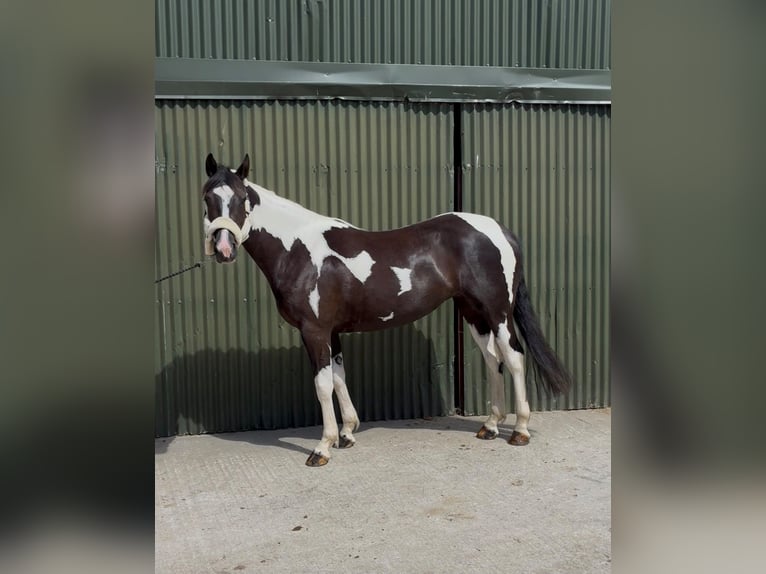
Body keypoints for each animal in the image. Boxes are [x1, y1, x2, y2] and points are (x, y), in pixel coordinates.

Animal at [200, 153, 571, 466]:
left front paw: (323, 447)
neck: (297, 249)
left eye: (242, 198)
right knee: (493, 359)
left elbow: (322, 385)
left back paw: (520, 430)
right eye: (207, 198)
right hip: (474, 312)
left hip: (498, 312)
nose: (223, 248)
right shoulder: (333, 332)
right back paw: (491, 426)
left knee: (514, 357)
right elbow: (339, 378)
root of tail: (500, 230)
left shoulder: (314, 330)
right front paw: (347, 434)